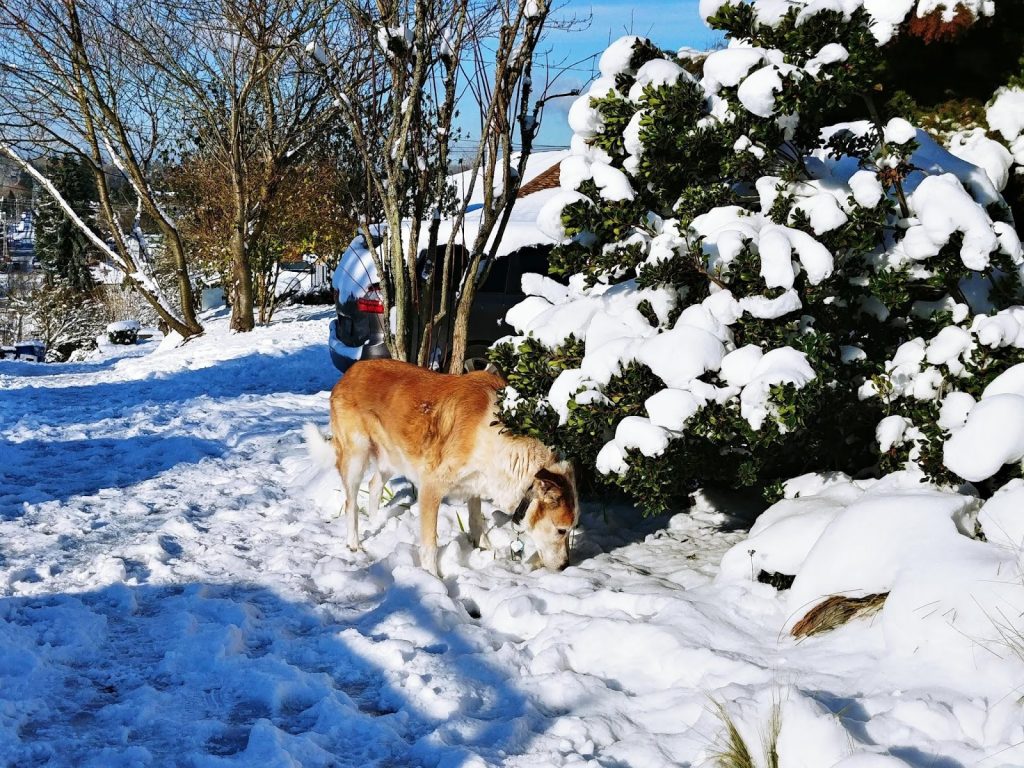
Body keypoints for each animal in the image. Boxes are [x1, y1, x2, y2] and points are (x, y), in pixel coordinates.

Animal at [313, 360, 577, 577]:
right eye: (561, 531)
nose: (566, 567)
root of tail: (350, 371)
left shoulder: (477, 482)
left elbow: (476, 519)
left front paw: (483, 548)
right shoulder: (430, 488)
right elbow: (430, 543)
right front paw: (433, 577)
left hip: (392, 456)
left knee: (375, 484)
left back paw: (377, 522)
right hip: (356, 457)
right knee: (351, 503)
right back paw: (354, 543)